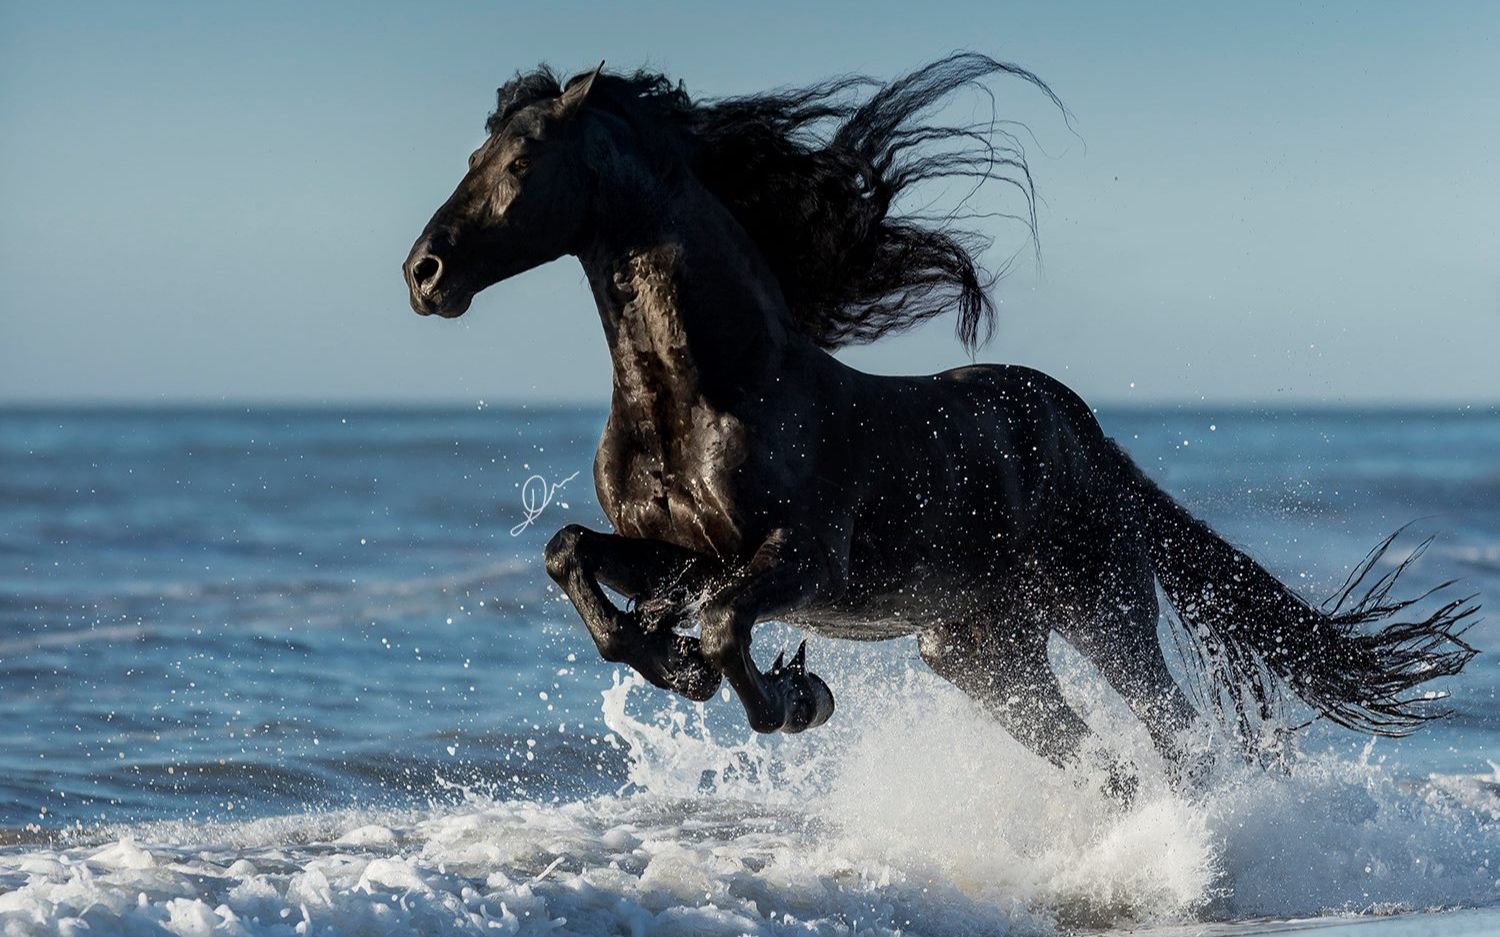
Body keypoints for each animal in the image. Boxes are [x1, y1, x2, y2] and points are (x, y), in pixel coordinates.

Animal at [408, 52, 1476, 779]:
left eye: (525, 159)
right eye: (472, 151)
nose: (425, 273)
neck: (705, 391)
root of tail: (1083, 434)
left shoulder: (799, 557)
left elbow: (722, 623)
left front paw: (793, 694)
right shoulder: (677, 550)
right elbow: (574, 558)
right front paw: (674, 661)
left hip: (1102, 613)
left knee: (1175, 738)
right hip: (984, 657)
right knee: (1108, 765)